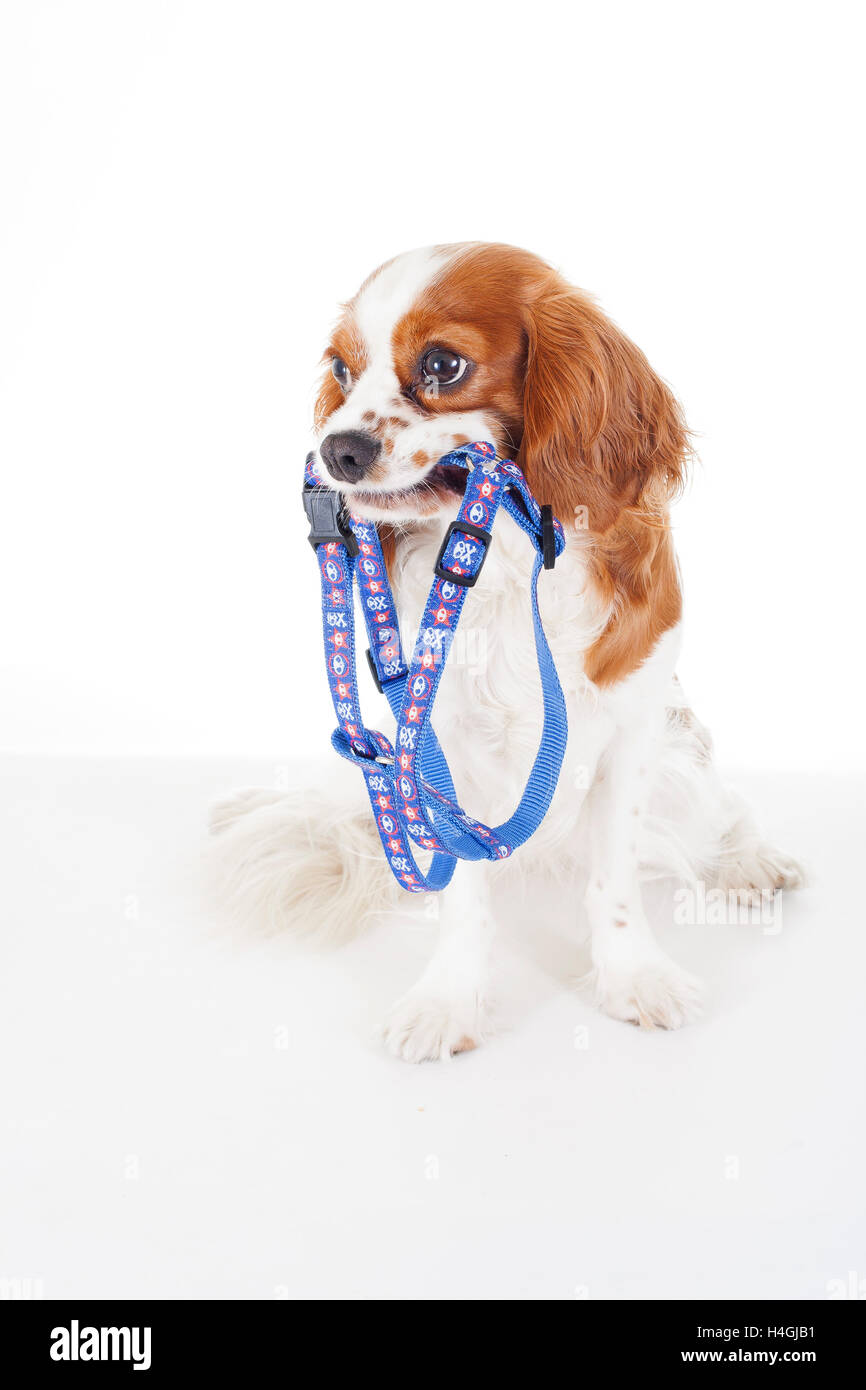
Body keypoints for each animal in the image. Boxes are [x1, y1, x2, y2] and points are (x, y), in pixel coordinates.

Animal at [211, 241, 806, 1061]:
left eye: (442, 364)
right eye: (340, 370)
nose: (335, 448)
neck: (502, 561)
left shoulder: (634, 733)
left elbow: (615, 878)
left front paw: (633, 977)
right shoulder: (432, 753)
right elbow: (463, 898)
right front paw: (448, 1001)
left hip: (682, 746)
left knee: (716, 804)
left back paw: (748, 857)